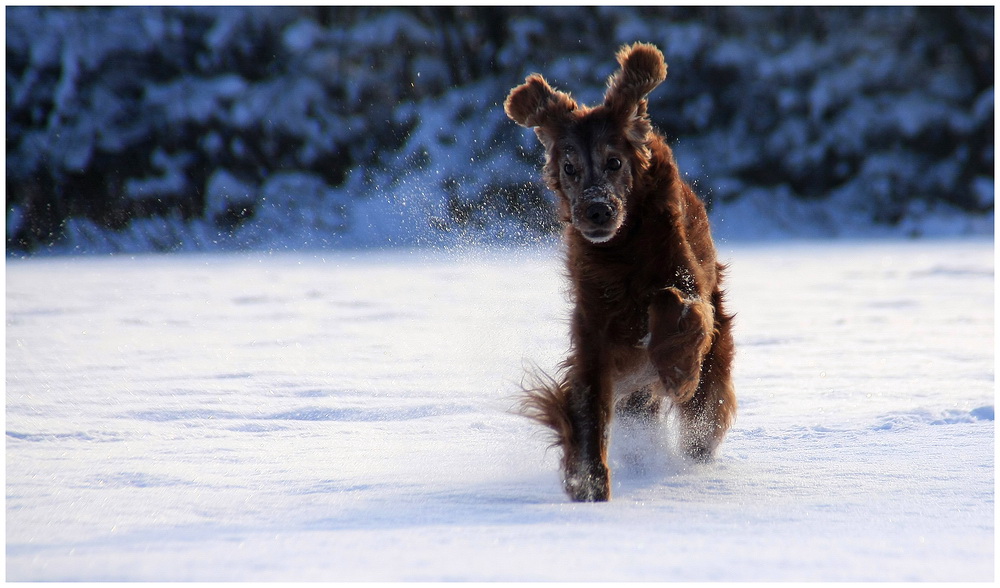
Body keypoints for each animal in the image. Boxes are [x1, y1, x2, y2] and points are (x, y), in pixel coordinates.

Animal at [508, 42, 736, 500]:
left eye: (614, 162)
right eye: (570, 168)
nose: (596, 210)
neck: (622, 252)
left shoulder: (688, 288)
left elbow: (672, 301)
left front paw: (677, 368)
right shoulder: (593, 337)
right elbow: (587, 409)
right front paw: (588, 480)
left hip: (711, 379)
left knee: (701, 428)